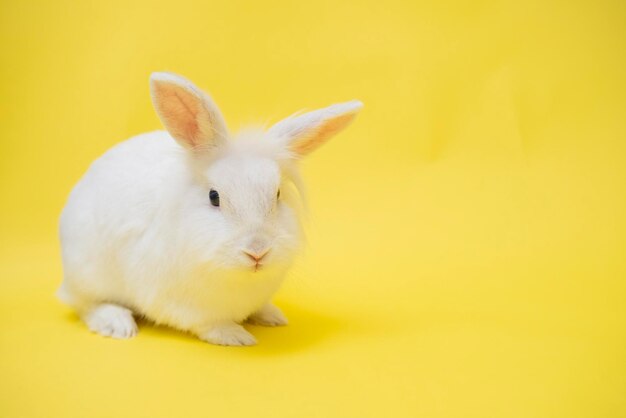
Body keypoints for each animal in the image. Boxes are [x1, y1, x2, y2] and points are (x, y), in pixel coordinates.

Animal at [59, 72, 360, 346]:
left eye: (277, 195)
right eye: (214, 196)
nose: (257, 252)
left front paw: (272, 315)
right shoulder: (179, 305)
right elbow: (208, 324)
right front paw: (236, 336)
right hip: (88, 273)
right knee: (85, 304)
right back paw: (117, 325)